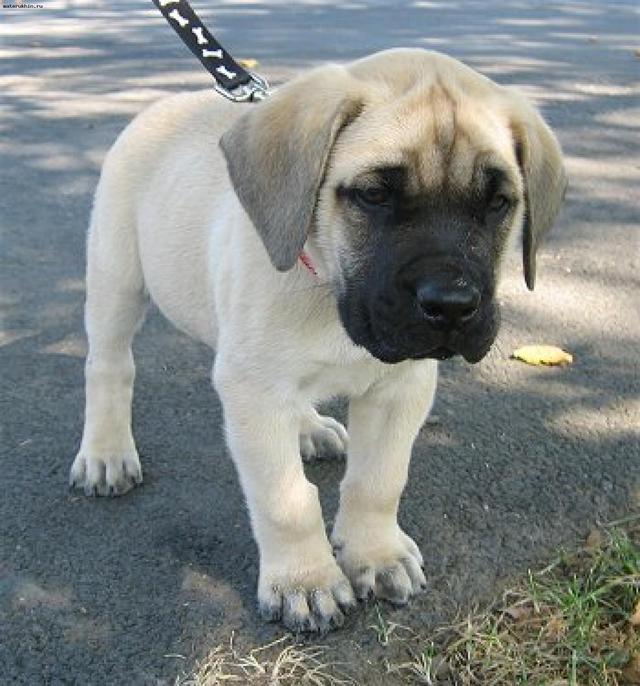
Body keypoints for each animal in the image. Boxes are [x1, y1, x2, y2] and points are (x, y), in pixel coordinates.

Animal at [72, 48, 568, 636]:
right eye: (374, 195)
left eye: (498, 203)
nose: (451, 305)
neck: (328, 290)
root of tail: (164, 105)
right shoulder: (254, 392)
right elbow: (286, 499)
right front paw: (304, 582)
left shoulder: (401, 387)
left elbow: (379, 480)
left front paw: (375, 555)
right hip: (117, 279)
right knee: (110, 368)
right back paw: (106, 452)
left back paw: (309, 428)